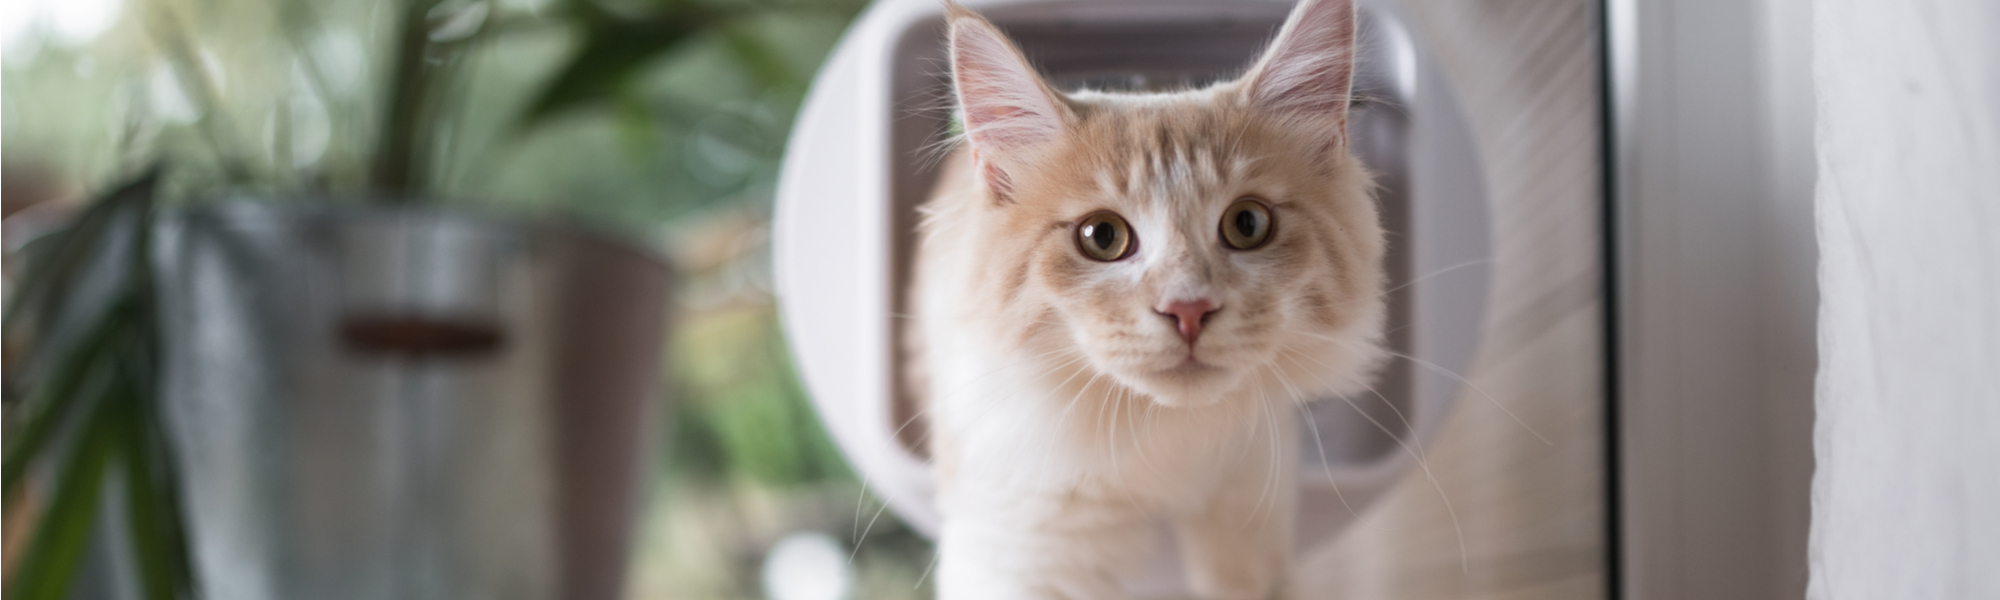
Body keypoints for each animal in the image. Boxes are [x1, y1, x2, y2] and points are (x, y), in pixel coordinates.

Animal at [912, 0, 1392, 596]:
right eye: (1101, 237)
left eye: (1248, 224)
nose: (1189, 310)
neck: (1164, 442)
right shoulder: (1020, 539)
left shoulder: (1253, 510)